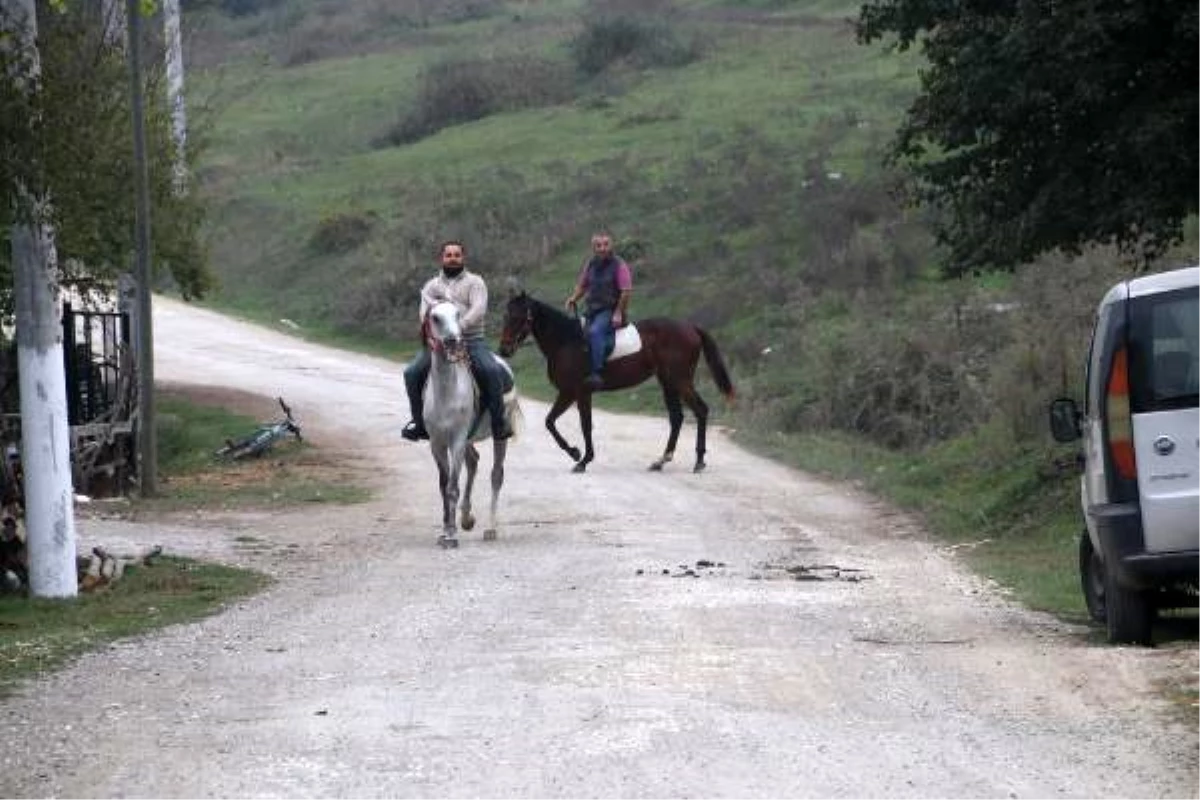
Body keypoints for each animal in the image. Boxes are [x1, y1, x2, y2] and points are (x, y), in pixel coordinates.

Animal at [420, 302, 518, 551]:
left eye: (458, 314)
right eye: (435, 317)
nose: (453, 341)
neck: (447, 391)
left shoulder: (456, 440)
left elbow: (452, 487)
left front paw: (451, 537)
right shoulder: (437, 443)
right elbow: (444, 486)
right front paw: (446, 531)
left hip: (497, 437)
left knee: (496, 475)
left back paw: (490, 529)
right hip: (468, 440)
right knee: (473, 462)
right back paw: (466, 518)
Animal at [494, 291, 729, 472]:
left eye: (520, 317)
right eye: (505, 315)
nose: (504, 349)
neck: (566, 342)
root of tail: (691, 327)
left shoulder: (578, 392)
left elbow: (584, 424)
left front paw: (582, 460)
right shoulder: (568, 392)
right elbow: (550, 422)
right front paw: (575, 453)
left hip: (680, 380)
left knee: (700, 410)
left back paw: (699, 461)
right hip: (668, 382)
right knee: (677, 417)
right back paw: (662, 461)